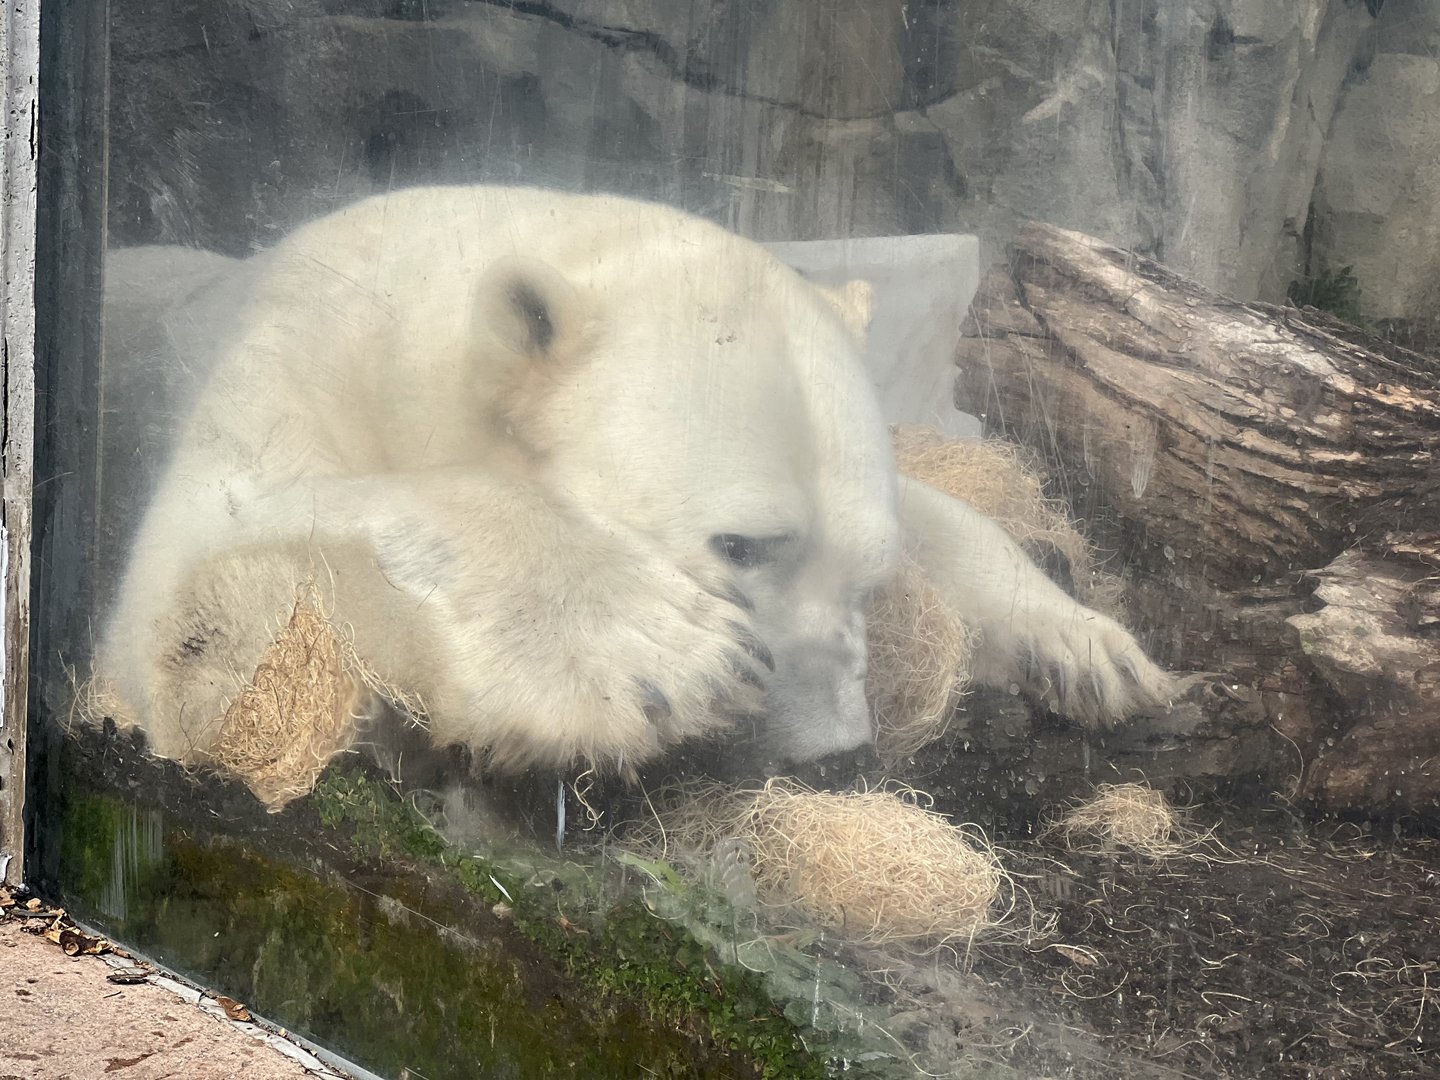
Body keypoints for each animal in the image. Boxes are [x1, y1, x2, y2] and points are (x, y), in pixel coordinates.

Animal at [94, 185, 1174, 778]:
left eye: (870, 579)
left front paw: (1090, 650)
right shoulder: (283, 371)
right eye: (738, 547)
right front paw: (663, 650)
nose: (837, 757)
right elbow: (196, 592)